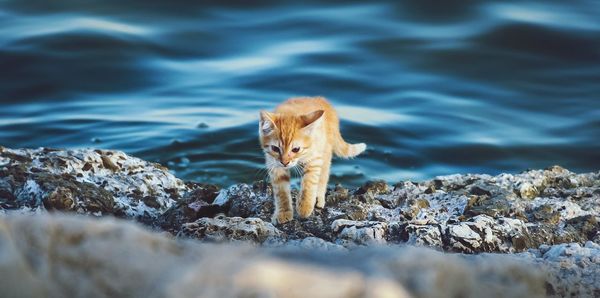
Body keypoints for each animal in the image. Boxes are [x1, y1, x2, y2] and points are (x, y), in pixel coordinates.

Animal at [258, 96, 366, 225]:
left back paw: (318, 198)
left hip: (325, 152)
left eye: (296, 149)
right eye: (275, 148)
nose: (285, 162)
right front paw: (283, 212)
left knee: (323, 176)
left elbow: (309, 182)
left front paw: (305, 207)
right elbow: (281, 191)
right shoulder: (274, 164)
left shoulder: (315, 159)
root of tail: (322, 100)